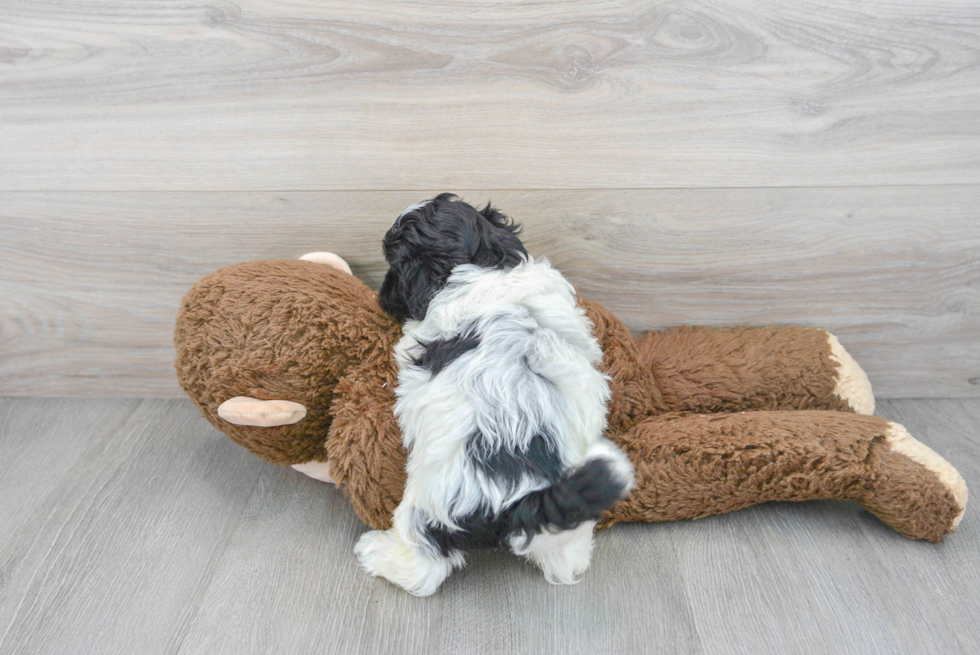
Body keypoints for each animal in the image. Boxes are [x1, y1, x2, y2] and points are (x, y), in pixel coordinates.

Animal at [354, 193, 636, 596]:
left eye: (396, 265)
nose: (381, 297)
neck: (482, 265)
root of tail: (520, 498)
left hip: (427, 503)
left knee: (423, 563)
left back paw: (380, 554)